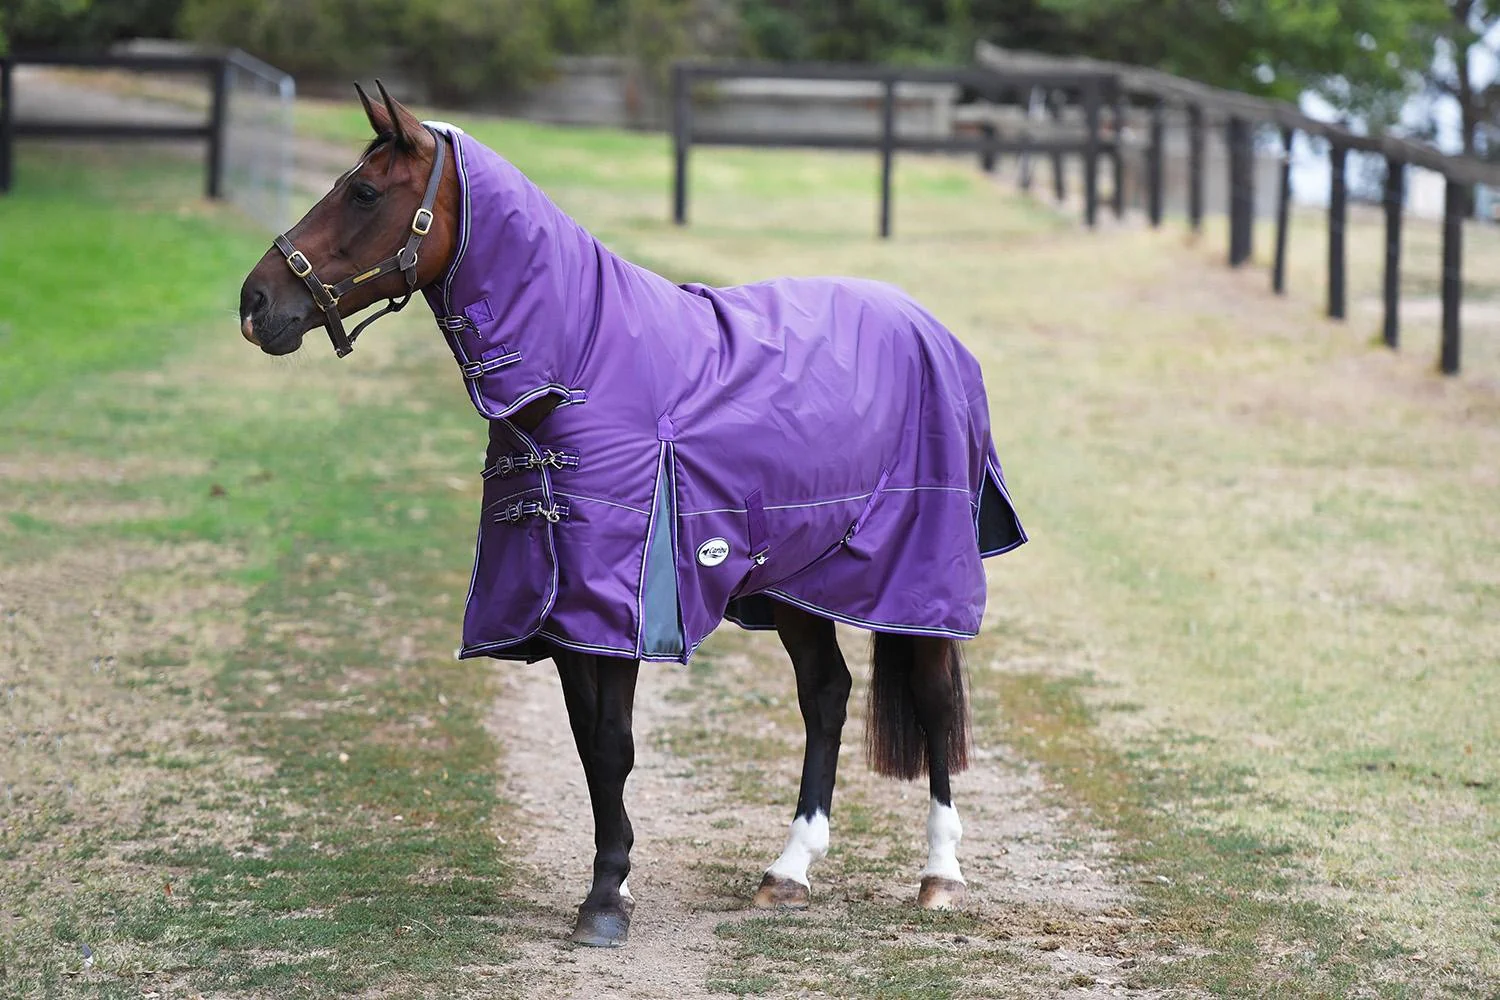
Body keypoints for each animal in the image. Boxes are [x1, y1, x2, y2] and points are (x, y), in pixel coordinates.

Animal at [237, 82, 1027, 948]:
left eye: (365, 193)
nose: (255, 301)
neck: (580, 366)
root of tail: (934, 332)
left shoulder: (613, 605)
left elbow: (614, 746)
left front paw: (606, 900)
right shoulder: (561, 610)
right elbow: (591, 751)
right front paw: (610, 877)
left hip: (919, 578)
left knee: (934, 700)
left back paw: (939, 874)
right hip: (796, 585)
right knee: (827, 694)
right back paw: (788, 871)